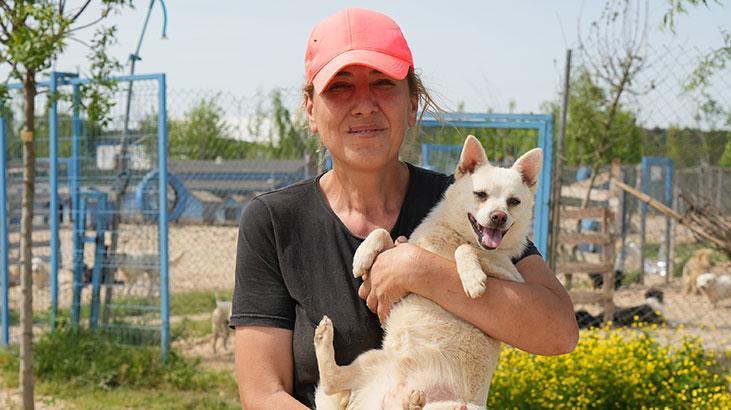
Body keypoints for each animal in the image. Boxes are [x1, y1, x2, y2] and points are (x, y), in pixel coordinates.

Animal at [314, 137, 544, 410]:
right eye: (480, 194)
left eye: (514, 202)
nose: (499, 216)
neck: (452, 240)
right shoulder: (403, 246)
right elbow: (382, 232)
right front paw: (363, 254)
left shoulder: (511, 277)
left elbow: (467, 250)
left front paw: (472, 278)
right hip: (372, 360)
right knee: (332, 381)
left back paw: (414, 401)